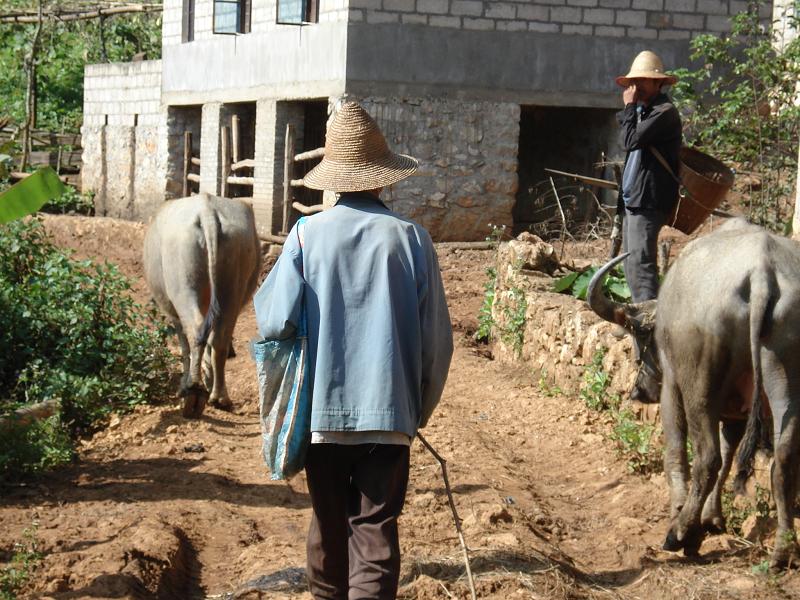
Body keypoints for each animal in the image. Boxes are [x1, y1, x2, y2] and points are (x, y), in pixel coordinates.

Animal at [141, 192, 260, 418]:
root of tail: (207, 211)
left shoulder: (172, 313)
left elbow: (184, 347)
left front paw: (184, 384)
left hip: (183, 287)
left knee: (195, 331)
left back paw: (193, 391)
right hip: (233, 287)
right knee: (220, 338)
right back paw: (220, 397)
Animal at [588, 219, 800, 568]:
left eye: (641, 338)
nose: (638, 390)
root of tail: (761, 273)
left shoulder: (673, 388)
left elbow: (676, 449)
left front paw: (680, 510)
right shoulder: (736, 411)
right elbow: (730, 453)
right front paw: (713, 518)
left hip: (700, 386)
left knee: (708, 457)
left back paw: (681, 534)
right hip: (785, 378)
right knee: (782, 459)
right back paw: (782, 551)